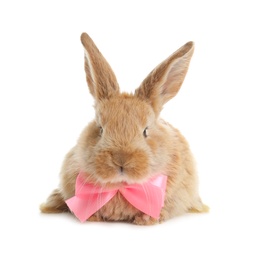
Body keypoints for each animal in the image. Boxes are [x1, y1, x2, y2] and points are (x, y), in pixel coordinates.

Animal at [40, 32, 208, 223]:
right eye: (100, 129)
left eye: (145, 131)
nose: (121, 160)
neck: (121, 186)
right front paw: (93, 217)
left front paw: (147, 219)